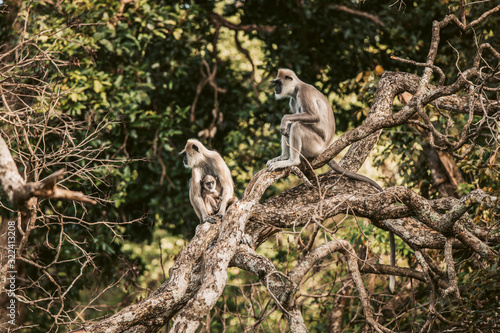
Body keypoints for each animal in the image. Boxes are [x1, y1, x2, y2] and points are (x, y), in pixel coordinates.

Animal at [268, 68, 396, 292]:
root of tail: (326, 148)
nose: (275, 89)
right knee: (290, 126)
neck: (297, 88)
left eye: (278, 83)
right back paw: (284, 158)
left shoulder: (302, 94)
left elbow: (307, 116)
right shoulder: (292, 100)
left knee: (296, 124)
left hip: (314, 144)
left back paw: (291, 159)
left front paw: (285, 121)